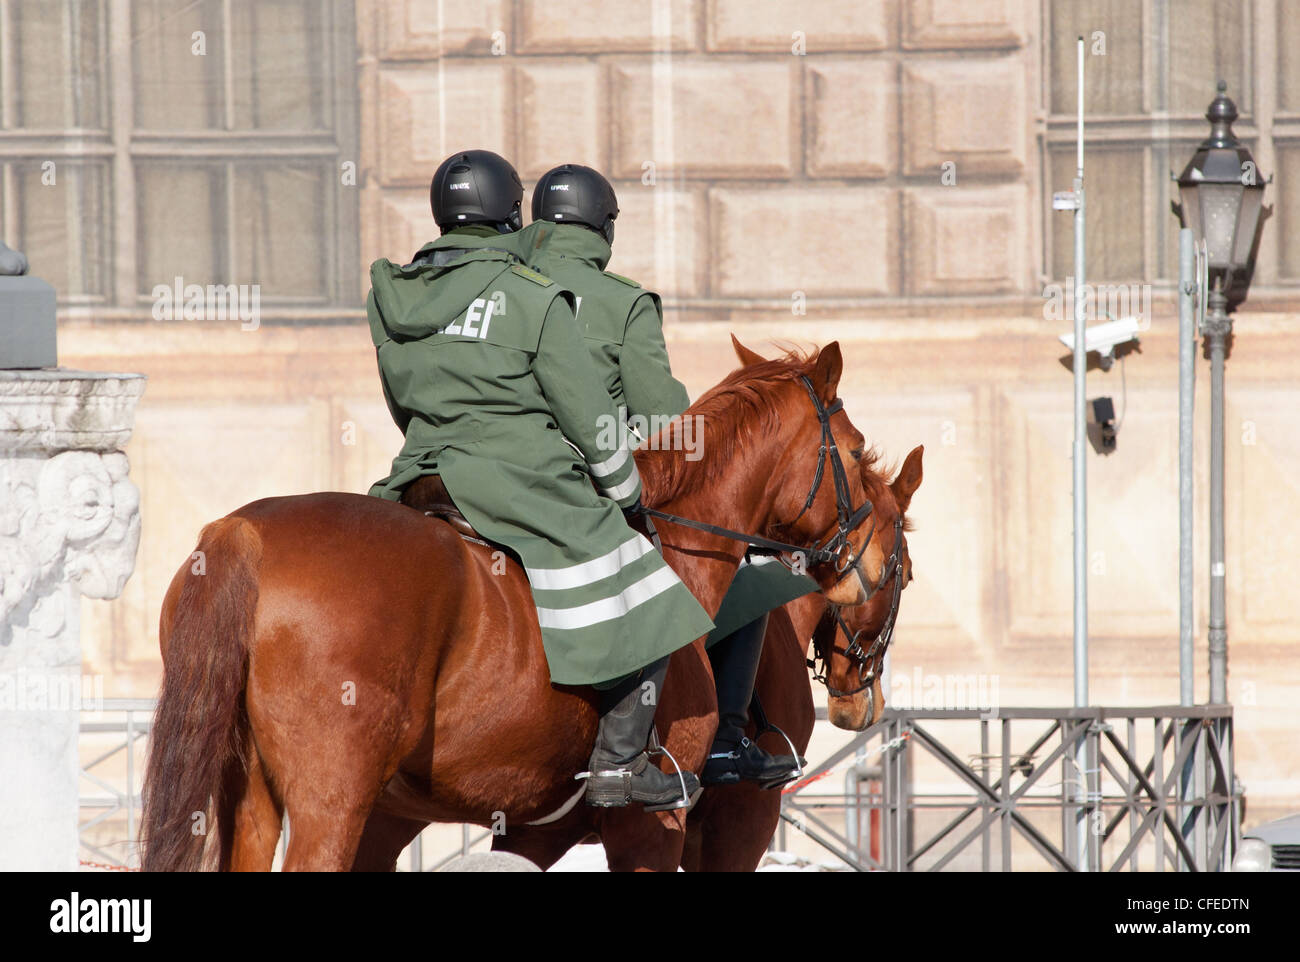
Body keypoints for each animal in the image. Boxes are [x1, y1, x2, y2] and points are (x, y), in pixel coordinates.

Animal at [142, 338, 894, 873]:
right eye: (856, 449)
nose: (862, 569)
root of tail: (243, 533)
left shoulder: (498, 825)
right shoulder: (673, 825)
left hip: (253, 799)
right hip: (332, 799)